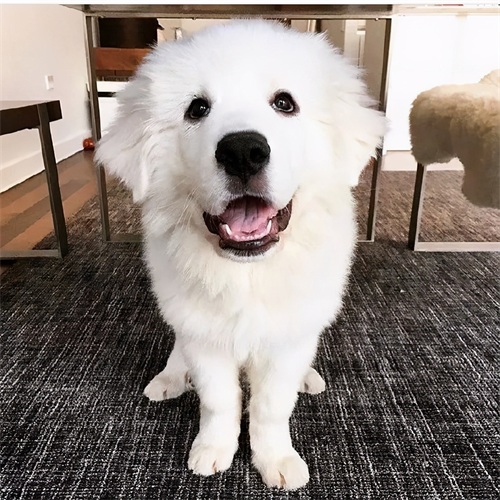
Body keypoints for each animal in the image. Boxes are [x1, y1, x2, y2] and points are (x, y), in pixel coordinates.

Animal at [96, 20, 385, 490]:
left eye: (284, 103)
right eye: (197, 109)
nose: (243, 151)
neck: (248, 272)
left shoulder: (286, 341)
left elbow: (271, 407)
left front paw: (276, 459)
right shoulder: (205, 338)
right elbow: (218, 401)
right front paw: (213, 450)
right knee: (178, 349)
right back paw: (170, 377)